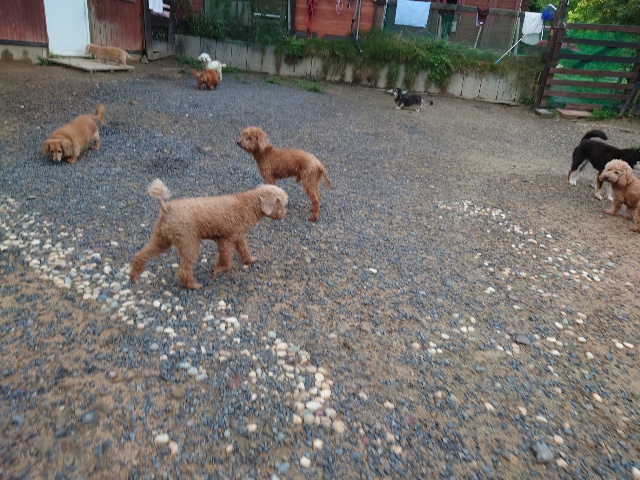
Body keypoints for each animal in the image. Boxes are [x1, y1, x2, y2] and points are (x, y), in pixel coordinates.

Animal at [129, 179, 288, 290]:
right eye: (280, 204)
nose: (284, 214)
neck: (248, 205)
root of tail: (166, 208)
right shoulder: (225, 239)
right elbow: (225, 260)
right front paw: (219, 270)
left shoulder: (238, 237)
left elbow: (244, 250)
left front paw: (250, 260)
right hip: (189, 242)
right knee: (183, 271)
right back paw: (193, 286)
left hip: (162, 239)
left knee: (141, 255)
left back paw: (133, 276)